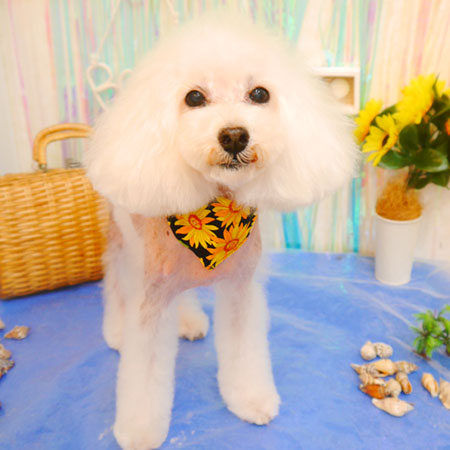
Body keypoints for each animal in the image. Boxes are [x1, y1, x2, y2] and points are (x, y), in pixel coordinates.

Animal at [86, 14, 357, 450]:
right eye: (194, 97)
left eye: (260, 93)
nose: (233, 135)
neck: (213, 216)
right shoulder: (150, 299)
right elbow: (144, 372)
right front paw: (139, 430)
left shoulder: (240, 287)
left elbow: (244, 351)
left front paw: (250, 400)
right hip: (124, 240)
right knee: (114, 281)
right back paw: (114, 330)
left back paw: (188, 321)